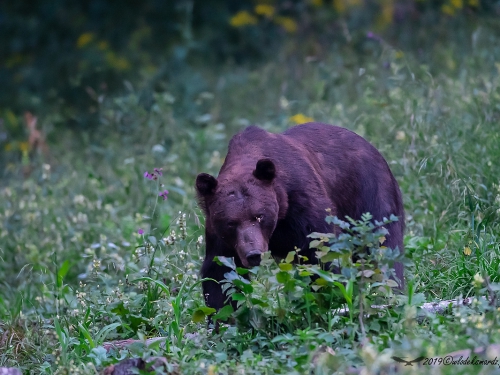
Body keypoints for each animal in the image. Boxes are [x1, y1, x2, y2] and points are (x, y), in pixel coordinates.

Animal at [193, 123, 404, 312]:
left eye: (259, 216)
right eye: (230, 223)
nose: (253, 254)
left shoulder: (303, 206)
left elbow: (322, 252)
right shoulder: (219, 237)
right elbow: (220, 275)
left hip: (370, 198)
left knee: (384, 249)